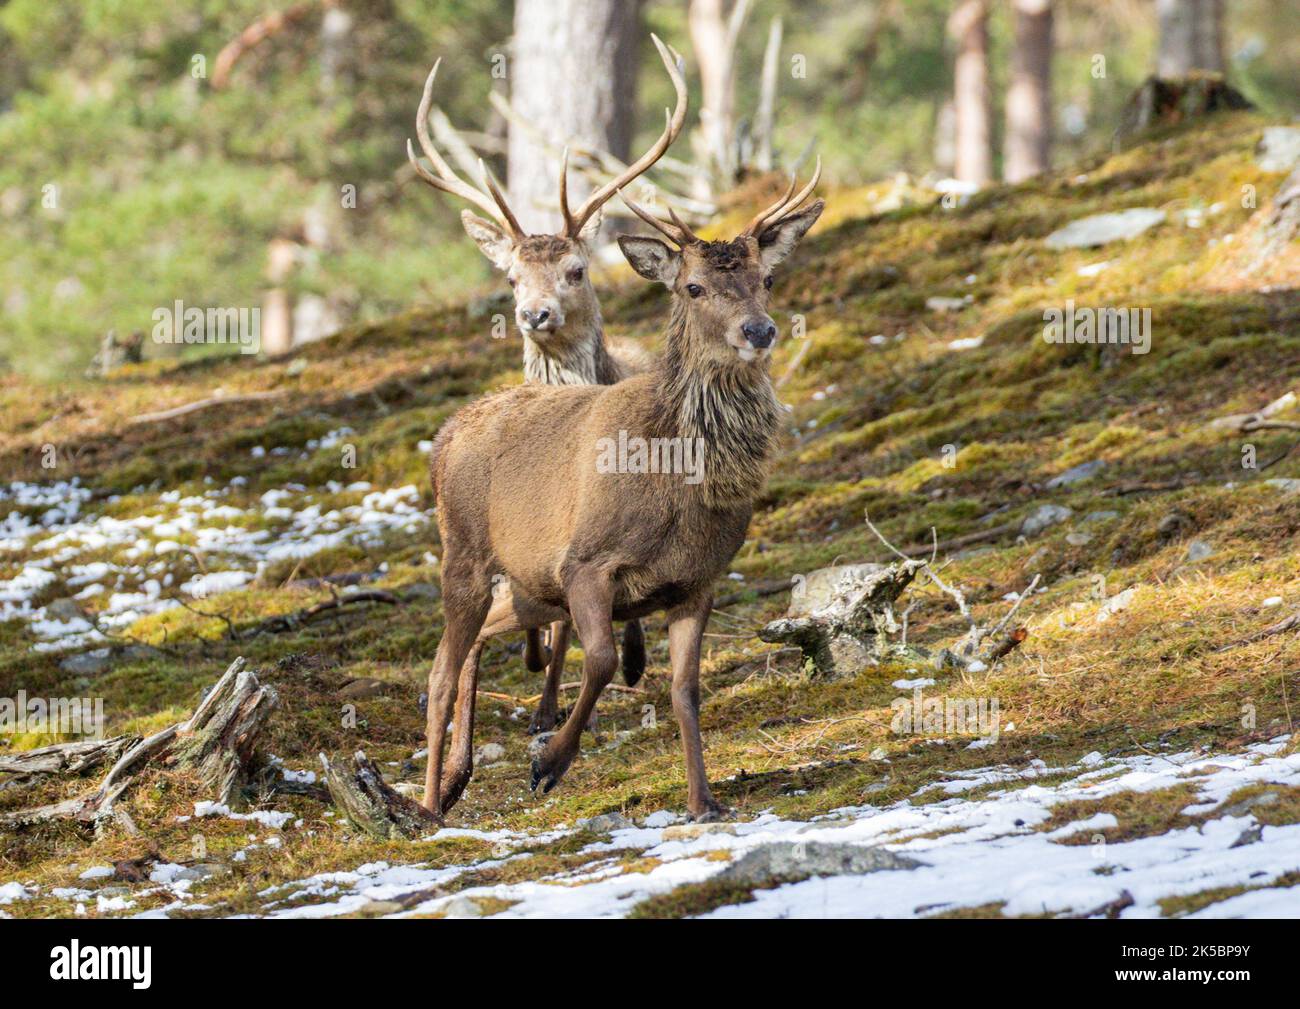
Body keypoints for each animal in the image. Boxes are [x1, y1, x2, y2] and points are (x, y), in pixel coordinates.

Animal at [423, 165, 824, 821]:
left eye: (766, 278)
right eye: (692, 287)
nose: (759, 330)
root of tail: (447, 432)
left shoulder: (697, 580)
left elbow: (685, 690)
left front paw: (703, 801)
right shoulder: (584, 564)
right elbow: (604, 661)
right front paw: (548, 763)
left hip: (531, 584)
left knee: (474, 642)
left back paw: (458, 778)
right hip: (465, 552)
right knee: (437, 671)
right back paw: (430, 805)